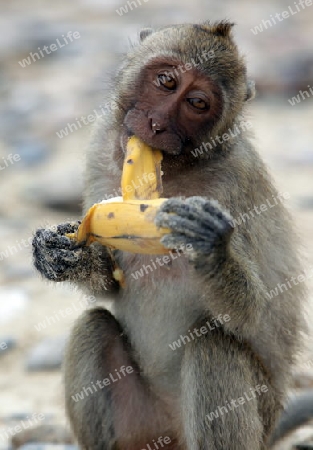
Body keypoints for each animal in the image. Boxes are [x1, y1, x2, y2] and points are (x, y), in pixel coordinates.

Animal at [32, 21, 304, 450]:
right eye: (165, 81)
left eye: (197, 103)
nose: (157, 124)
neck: (176, 169)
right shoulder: (99, 150)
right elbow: (109, 283)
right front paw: (62, 255)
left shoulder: (235, 185)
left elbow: (255, 314)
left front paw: (209, 243)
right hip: (140, 425)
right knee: (93, 324)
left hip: (256, 421)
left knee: (212, 346)